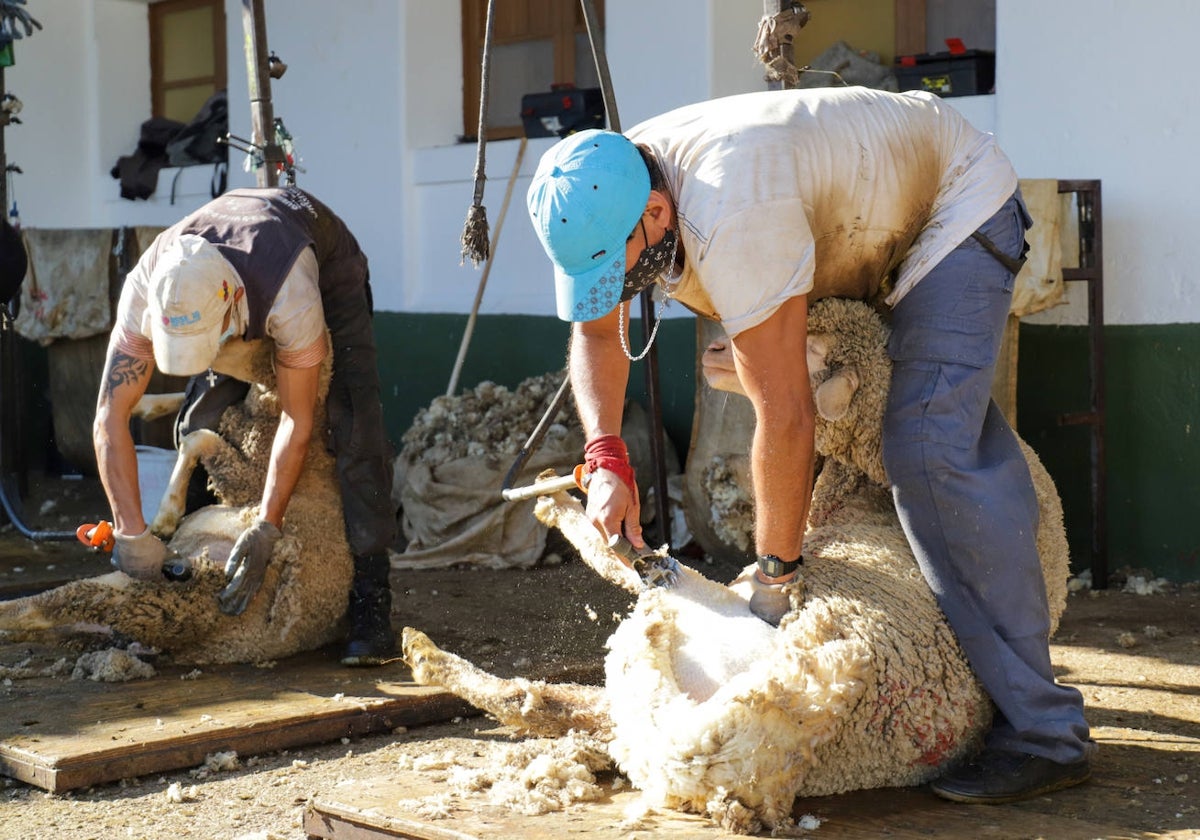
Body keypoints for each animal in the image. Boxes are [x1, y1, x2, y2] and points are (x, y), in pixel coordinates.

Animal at [0, 338, 355, 667]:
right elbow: (190, 415)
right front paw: (144, 405)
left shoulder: (247, 479)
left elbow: (197, 437)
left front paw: (166, 515)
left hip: (152, 590)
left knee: (48, 604)